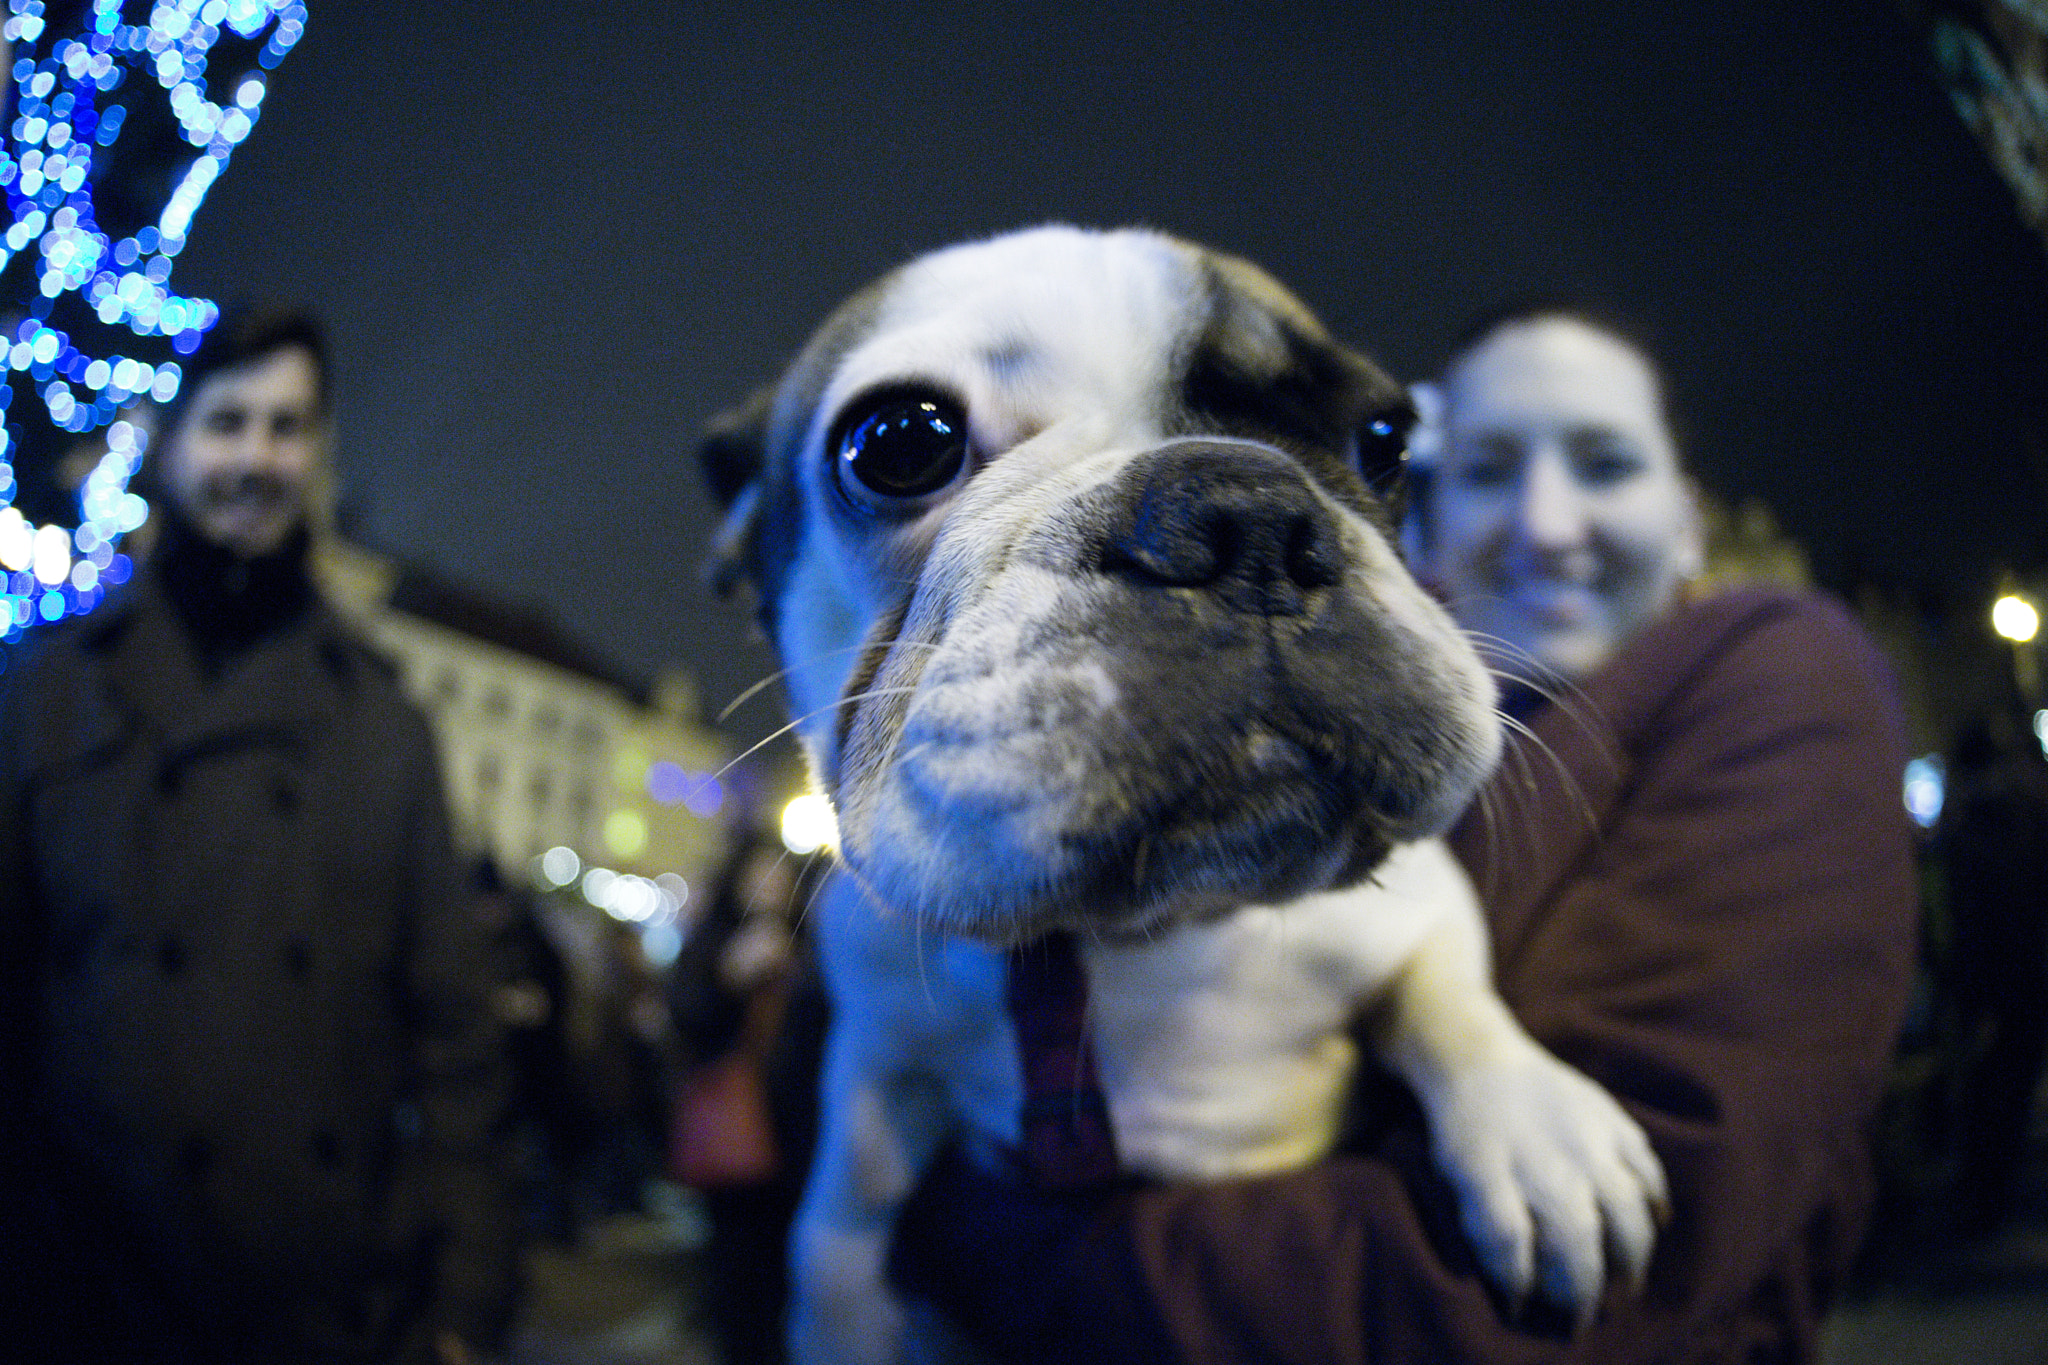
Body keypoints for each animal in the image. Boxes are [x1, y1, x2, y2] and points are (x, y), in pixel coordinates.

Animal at [704, 227, 1662, 1365]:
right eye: (898, 440)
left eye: (1385, 439)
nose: (1245, 514)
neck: (1157, 934)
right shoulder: (876, 1052)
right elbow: (842, 1217)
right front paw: (842, 1302)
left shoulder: (1425, 915)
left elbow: (1451, 999)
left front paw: (1536, 1130)